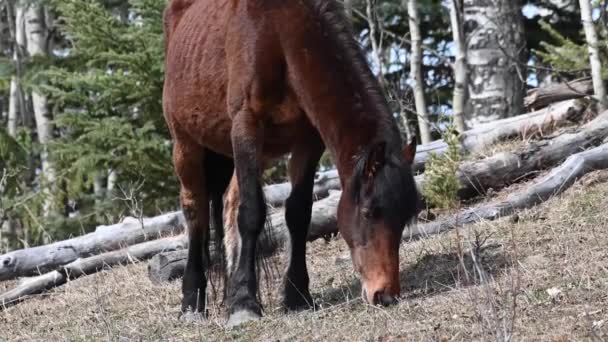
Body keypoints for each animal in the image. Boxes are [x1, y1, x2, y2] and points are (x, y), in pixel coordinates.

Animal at [163, 0, 418, 328]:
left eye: (406, 217)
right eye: (369, 212)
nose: (385, 294)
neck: (279, 33)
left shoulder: (308, 140)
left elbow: (298, 214)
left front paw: (296, 296)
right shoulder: (246, 126)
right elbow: (252, 212)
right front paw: (245, 304)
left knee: (229, 204)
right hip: (186, 144)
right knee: (196, 211)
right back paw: (192, 302)